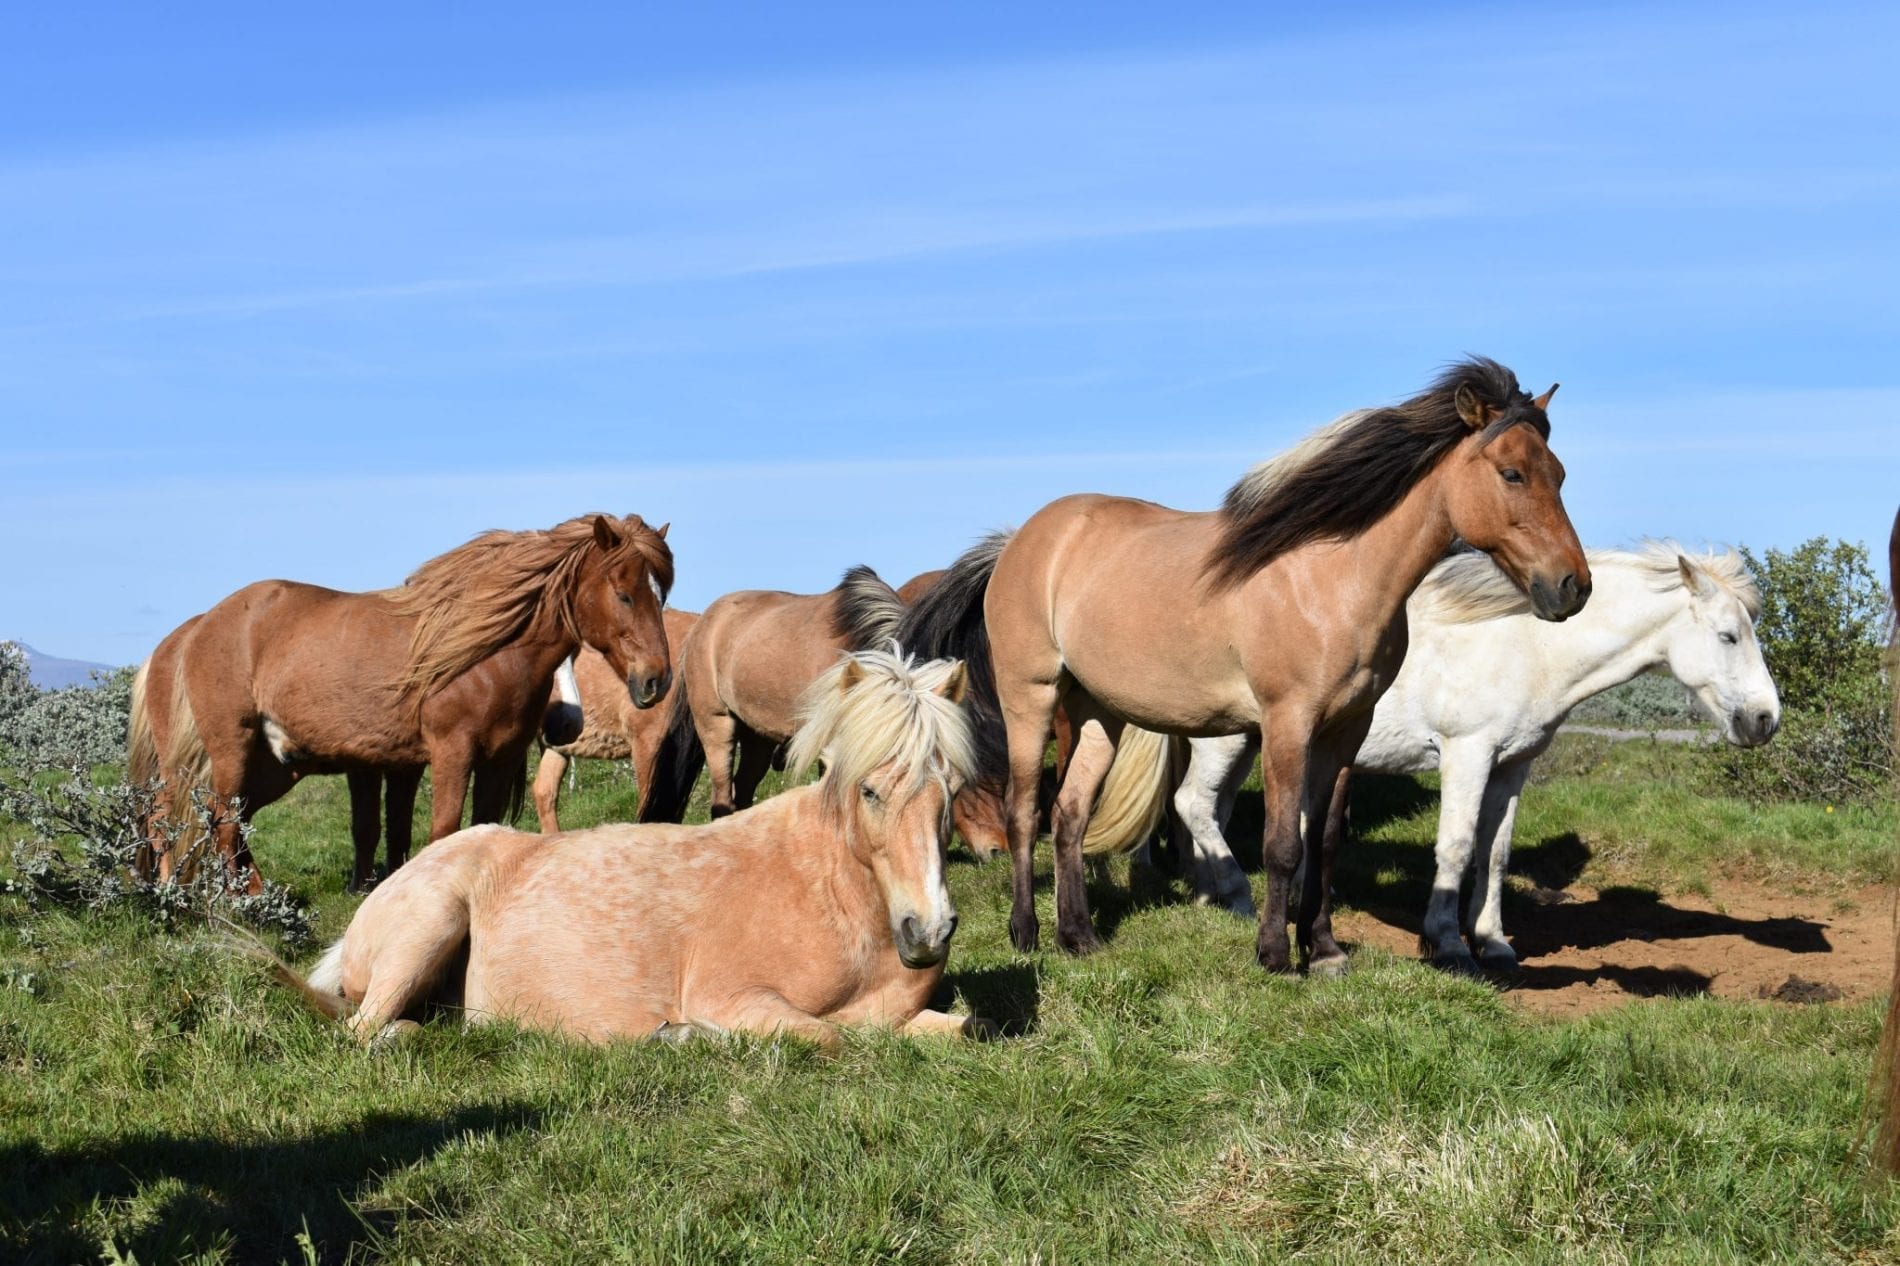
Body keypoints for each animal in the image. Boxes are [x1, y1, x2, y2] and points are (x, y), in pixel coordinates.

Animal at [128, 513, 674, 891]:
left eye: (660, 594)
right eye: (624, 594)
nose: (656, 680)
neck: (482, 657)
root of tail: (203, 624)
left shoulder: (493, 762)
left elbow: (467, 829)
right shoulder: (450, 754)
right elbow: (441, 830)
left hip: (272, 765)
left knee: (220, 820)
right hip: (232, 749)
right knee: (215, 820)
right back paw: (240, 898)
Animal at [260, 648, 987, 1048]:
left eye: (952, 789)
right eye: (869, 790)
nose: (928, 931)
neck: (831, 894)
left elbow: (963, 1028)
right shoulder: (735, 996)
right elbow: (827, 1035)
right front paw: (684, 1036)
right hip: (430, 924)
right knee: (365, 1032)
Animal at [911, 358, 1591, 970]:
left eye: (1559, 473)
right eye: (1511, 473)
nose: (1572, 587)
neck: (1331, 575)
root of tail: (1020, 540)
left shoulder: (1347, 729)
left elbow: (1326, 840)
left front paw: (1324, 949)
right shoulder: (1288, 722)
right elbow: (1283, 843)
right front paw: (1274, 953)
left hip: (1099, 714)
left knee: (1070, 815)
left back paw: (1079, 937)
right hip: (1031, 698)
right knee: (1026, 813)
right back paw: (1026, 933)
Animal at [1169, 544, 1780, 971]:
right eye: (1729, 636)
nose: (1765, 719)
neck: (1528, 647)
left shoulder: (1512, 766)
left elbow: (1495, 853)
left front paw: (1492, 941)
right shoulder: (1467, 754)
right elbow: (1458, 848)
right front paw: (1448, 944)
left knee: (1213, 811)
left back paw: (1210, 899)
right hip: (1228, 741)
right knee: (1193, 803)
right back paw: (1239, 901)